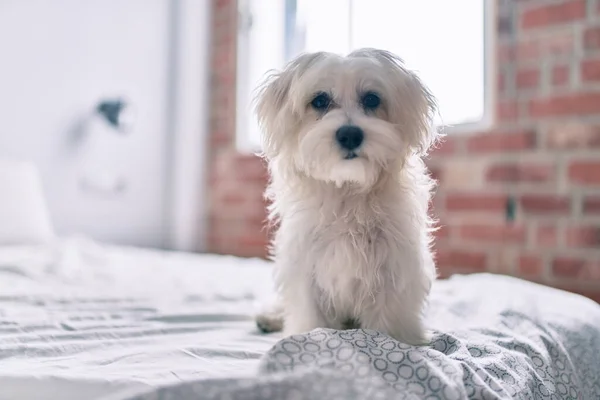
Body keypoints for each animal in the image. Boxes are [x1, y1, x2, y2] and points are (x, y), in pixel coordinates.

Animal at [253, 48, 440, 346]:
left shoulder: (393, 266)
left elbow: (388, 318)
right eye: (319, 100)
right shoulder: (306, 265)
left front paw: (394, 341)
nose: (350, 134)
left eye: (372, 99)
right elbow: (310, 315)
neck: (347, 190)